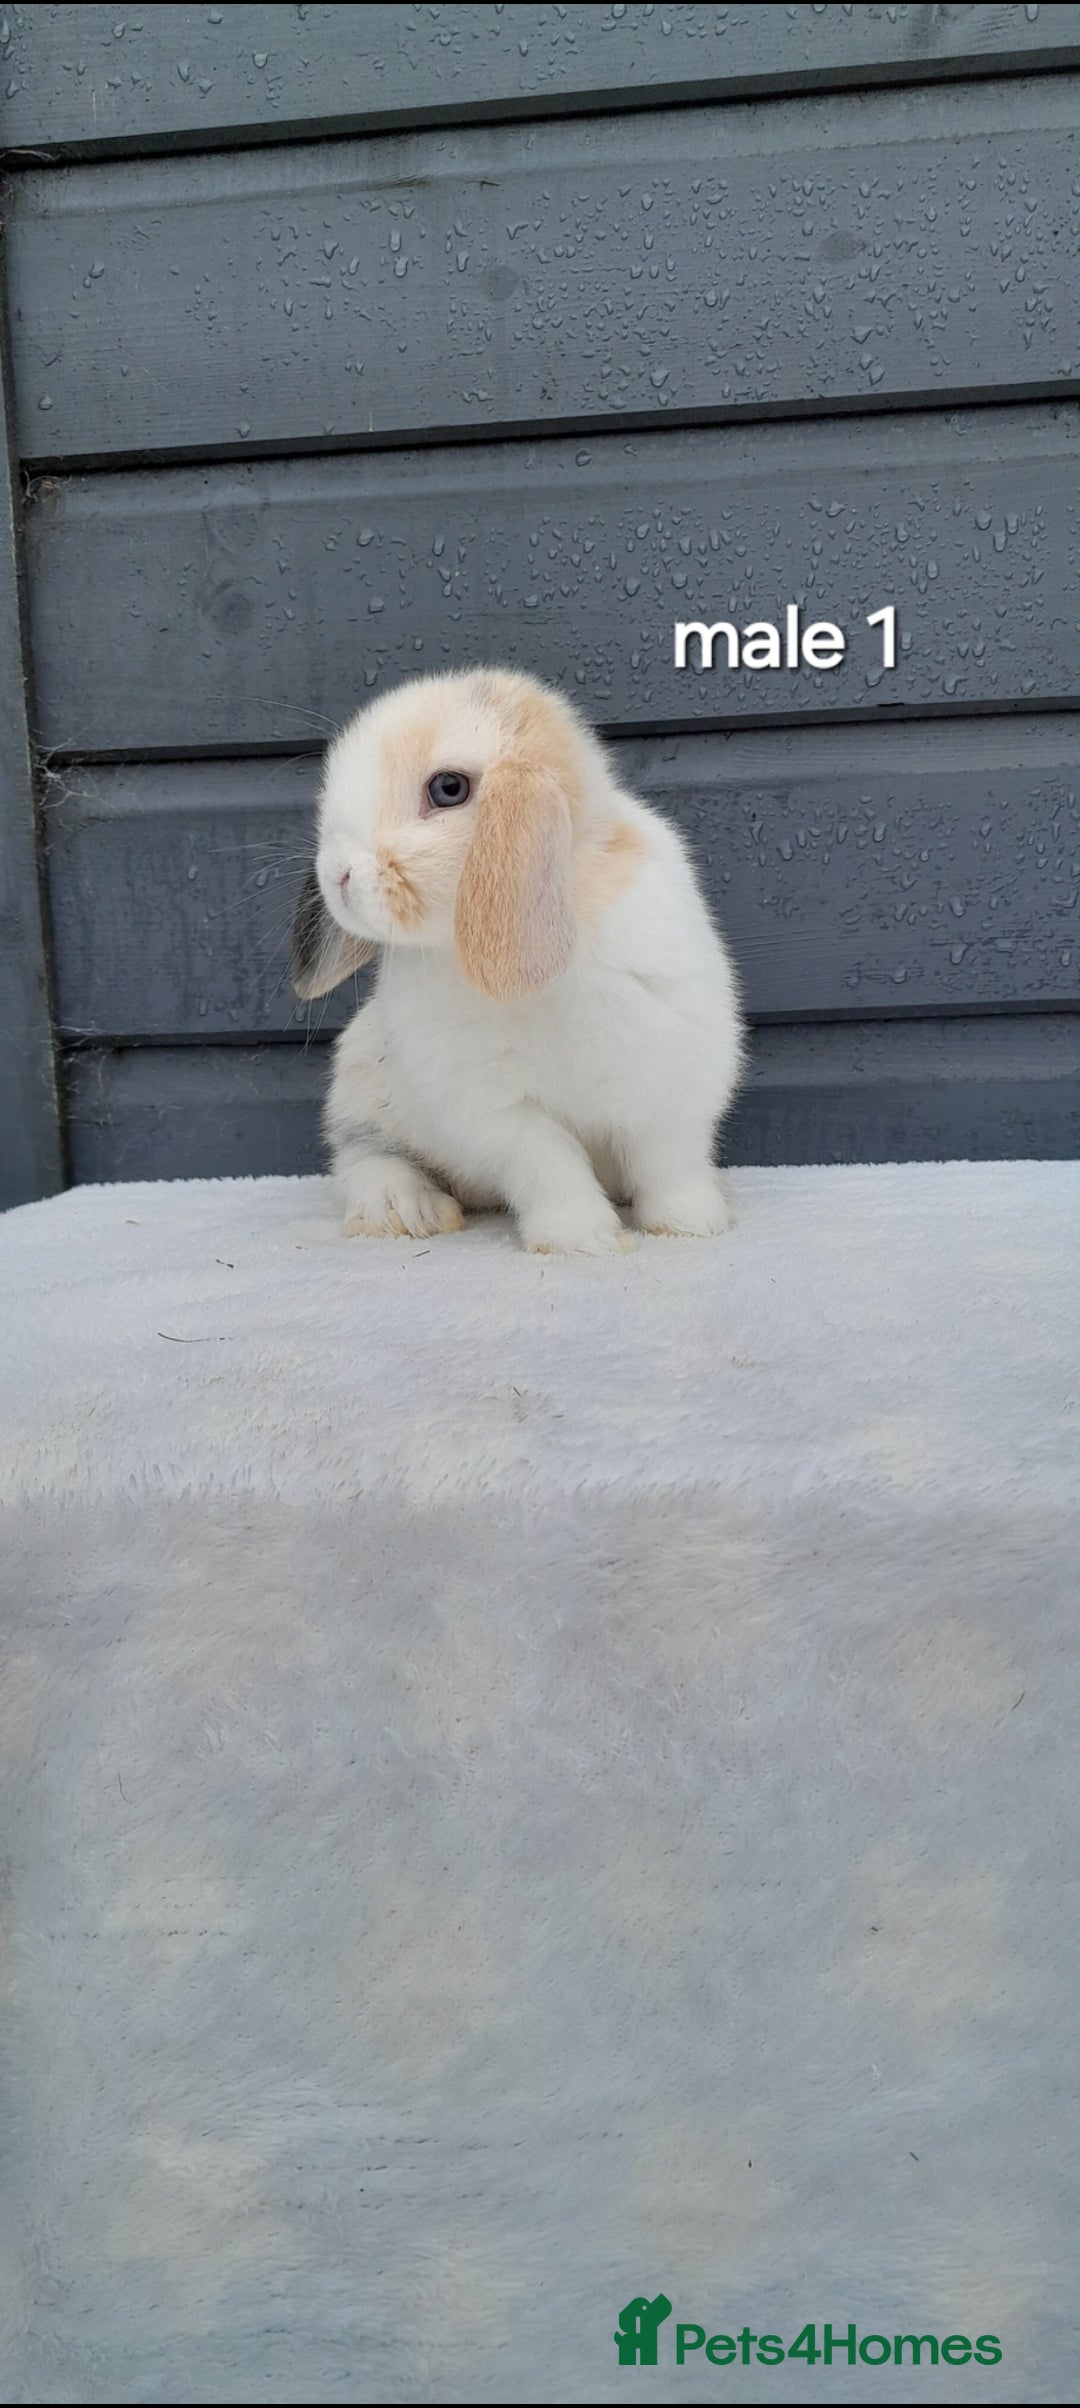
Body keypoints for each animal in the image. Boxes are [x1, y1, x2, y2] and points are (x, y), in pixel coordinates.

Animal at [290, 666, 744, 1255]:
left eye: (448, 788)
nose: (337, 874)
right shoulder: (501, 1110)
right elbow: (552, 1167)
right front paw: (582, 1239)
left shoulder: (669, 1082)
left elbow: (668, 1163)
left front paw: (691, 1225)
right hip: (361, 1089)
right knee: (365, 1156)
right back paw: (406, 1211)